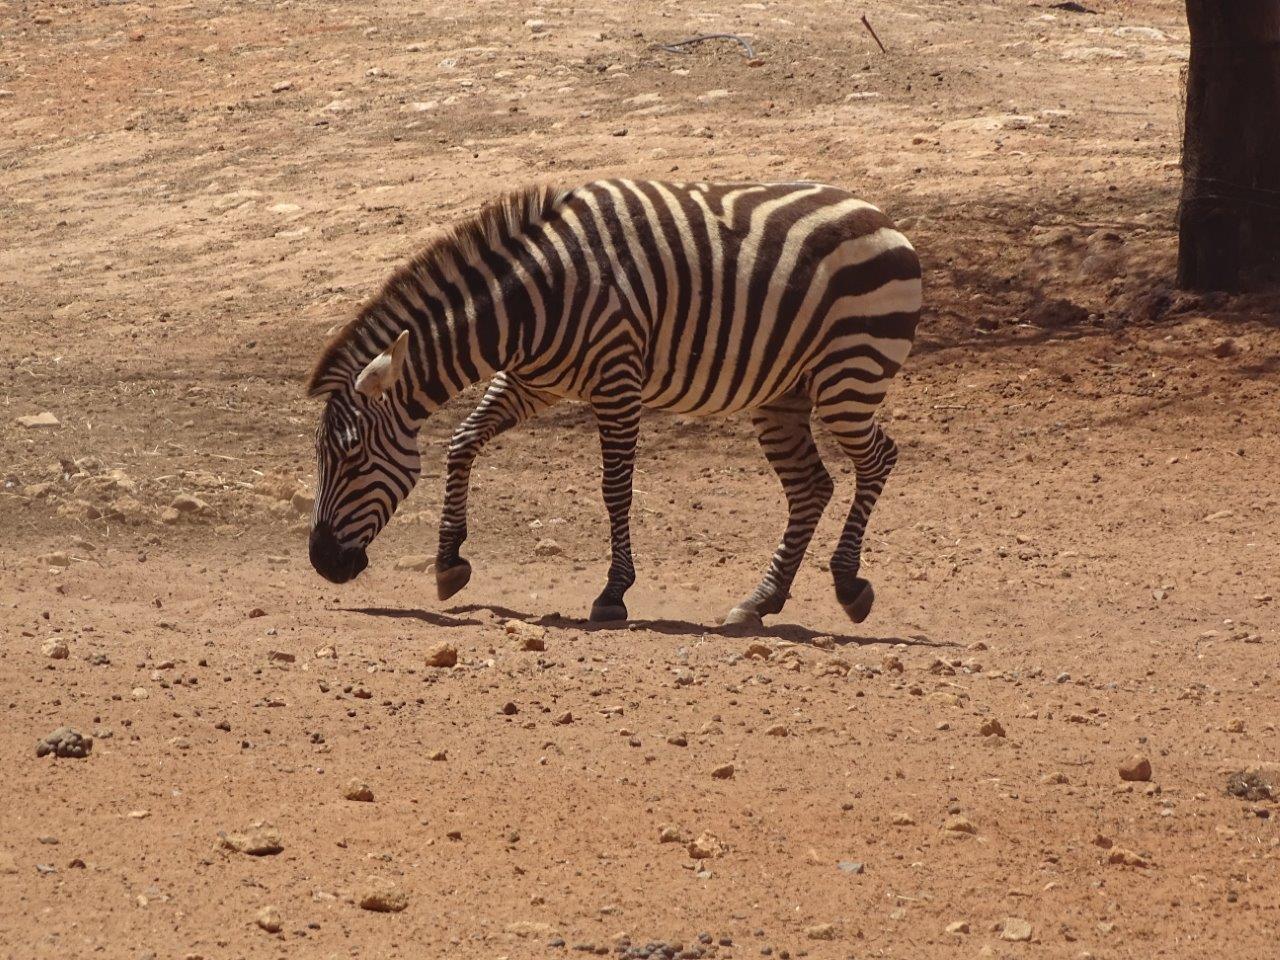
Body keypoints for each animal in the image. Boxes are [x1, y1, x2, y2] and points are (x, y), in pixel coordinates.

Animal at [307, 180, 921, 627]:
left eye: (353, 457)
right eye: (323, 457)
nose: (321, 562)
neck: (529, 301)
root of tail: (884, 219)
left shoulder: (617, 379)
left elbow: (615, 488)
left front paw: (613, 592)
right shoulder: (533, 381)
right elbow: (462, 442)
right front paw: (449, 562)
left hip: (849, 375)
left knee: (879, 459)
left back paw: (848, 583)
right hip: (782, 396)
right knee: (811, 486)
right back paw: (761, 601)